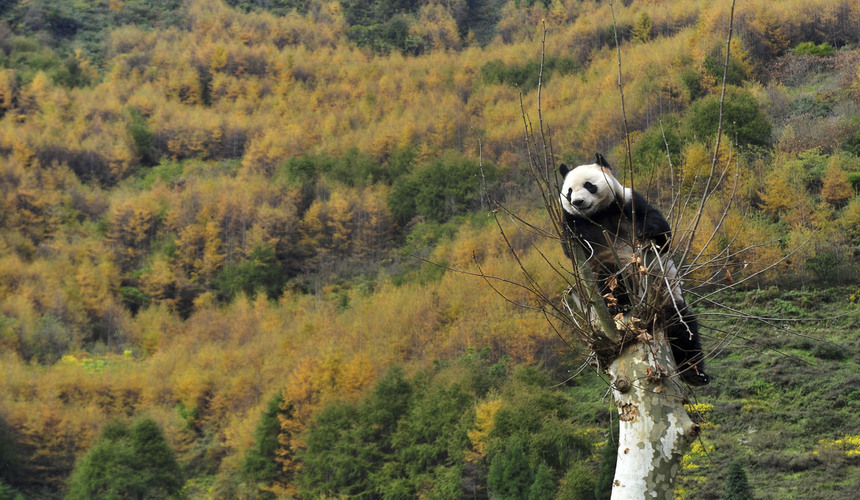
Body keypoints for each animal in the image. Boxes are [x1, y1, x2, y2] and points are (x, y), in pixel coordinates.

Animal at [559, 153, 710, 386]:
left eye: (589, 185)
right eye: (569, 191)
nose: (578, 202)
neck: (599, 214)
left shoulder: (629, 201)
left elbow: (661, 232)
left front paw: (646, 232)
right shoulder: (574, 222)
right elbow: (574, 248)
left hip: (665, 293)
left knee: (683, 327)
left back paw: (695, 373)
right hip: (616, 271)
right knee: (610, 274)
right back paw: (619, 304)